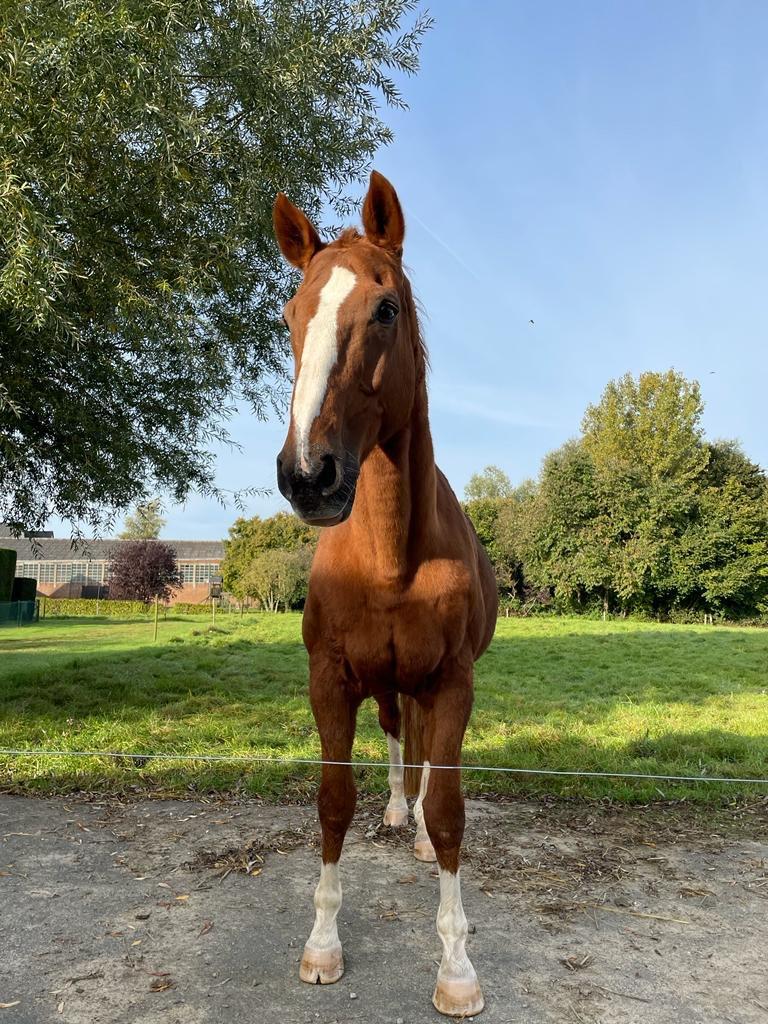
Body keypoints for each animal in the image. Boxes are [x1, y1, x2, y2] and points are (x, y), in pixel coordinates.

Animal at [273, 171, 498, 1017]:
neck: (388, 555)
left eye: (385, 309)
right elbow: (333, 803)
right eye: (290, 316)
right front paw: (322, 946)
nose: (309, 475)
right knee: (402, 738)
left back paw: (416, 827)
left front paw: (457, 969)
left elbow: (452, 811)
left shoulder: (454, 680)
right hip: (387, 682)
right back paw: (398, 810)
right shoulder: (331, 680)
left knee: (428, 758)